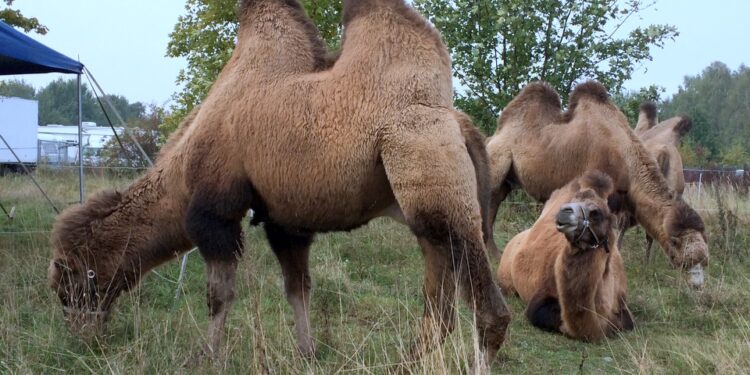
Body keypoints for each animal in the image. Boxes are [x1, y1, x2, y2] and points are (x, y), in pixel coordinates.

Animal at [47, 0, 512, 368]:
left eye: (69, 286)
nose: (80, 338)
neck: (180, 177)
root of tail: (460, 124)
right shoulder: (286, 220)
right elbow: (297, 288)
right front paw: (307, 353)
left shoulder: (214, 213)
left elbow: (219, 294)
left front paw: (204, 355)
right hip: (424, 209)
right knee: (439, 302)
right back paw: (403, 363)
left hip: (428, 171)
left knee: (489, 312)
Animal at [488, 81, 712, 290]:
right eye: (686, 258)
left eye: (704, 260)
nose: (698, 286)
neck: (624, 159)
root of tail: (496, 134)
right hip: (498, 162)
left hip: (507, 180)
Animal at [500, 172, 636, 342]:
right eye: (572, 201)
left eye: (596, 212)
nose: (564, 212)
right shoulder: (541, 297)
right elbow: (541, 314)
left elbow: (625, 323)